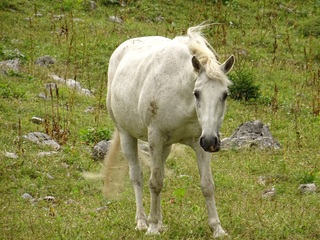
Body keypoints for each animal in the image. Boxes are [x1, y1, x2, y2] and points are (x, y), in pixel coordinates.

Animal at [105, 24, 235, 238]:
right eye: (197, 93)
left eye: (224, 94)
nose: (211, 141)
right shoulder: (156, 139)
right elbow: (155, 182)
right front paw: (152, 228)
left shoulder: (199, 144)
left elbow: (207, 185)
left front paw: (217, 228)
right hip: (126, 135)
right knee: (137, 177)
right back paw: (142, 222)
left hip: (166, 147)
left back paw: (159, 222)